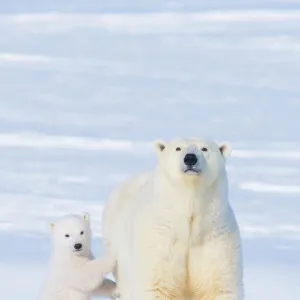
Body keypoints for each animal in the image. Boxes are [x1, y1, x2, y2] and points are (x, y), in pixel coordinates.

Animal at [102, 138, 243, 300]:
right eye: (178, 148)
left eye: (204, 148)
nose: (190, 158)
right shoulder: (161, 239)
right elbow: (157, 285)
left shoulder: (214, 237)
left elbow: (218, 287)